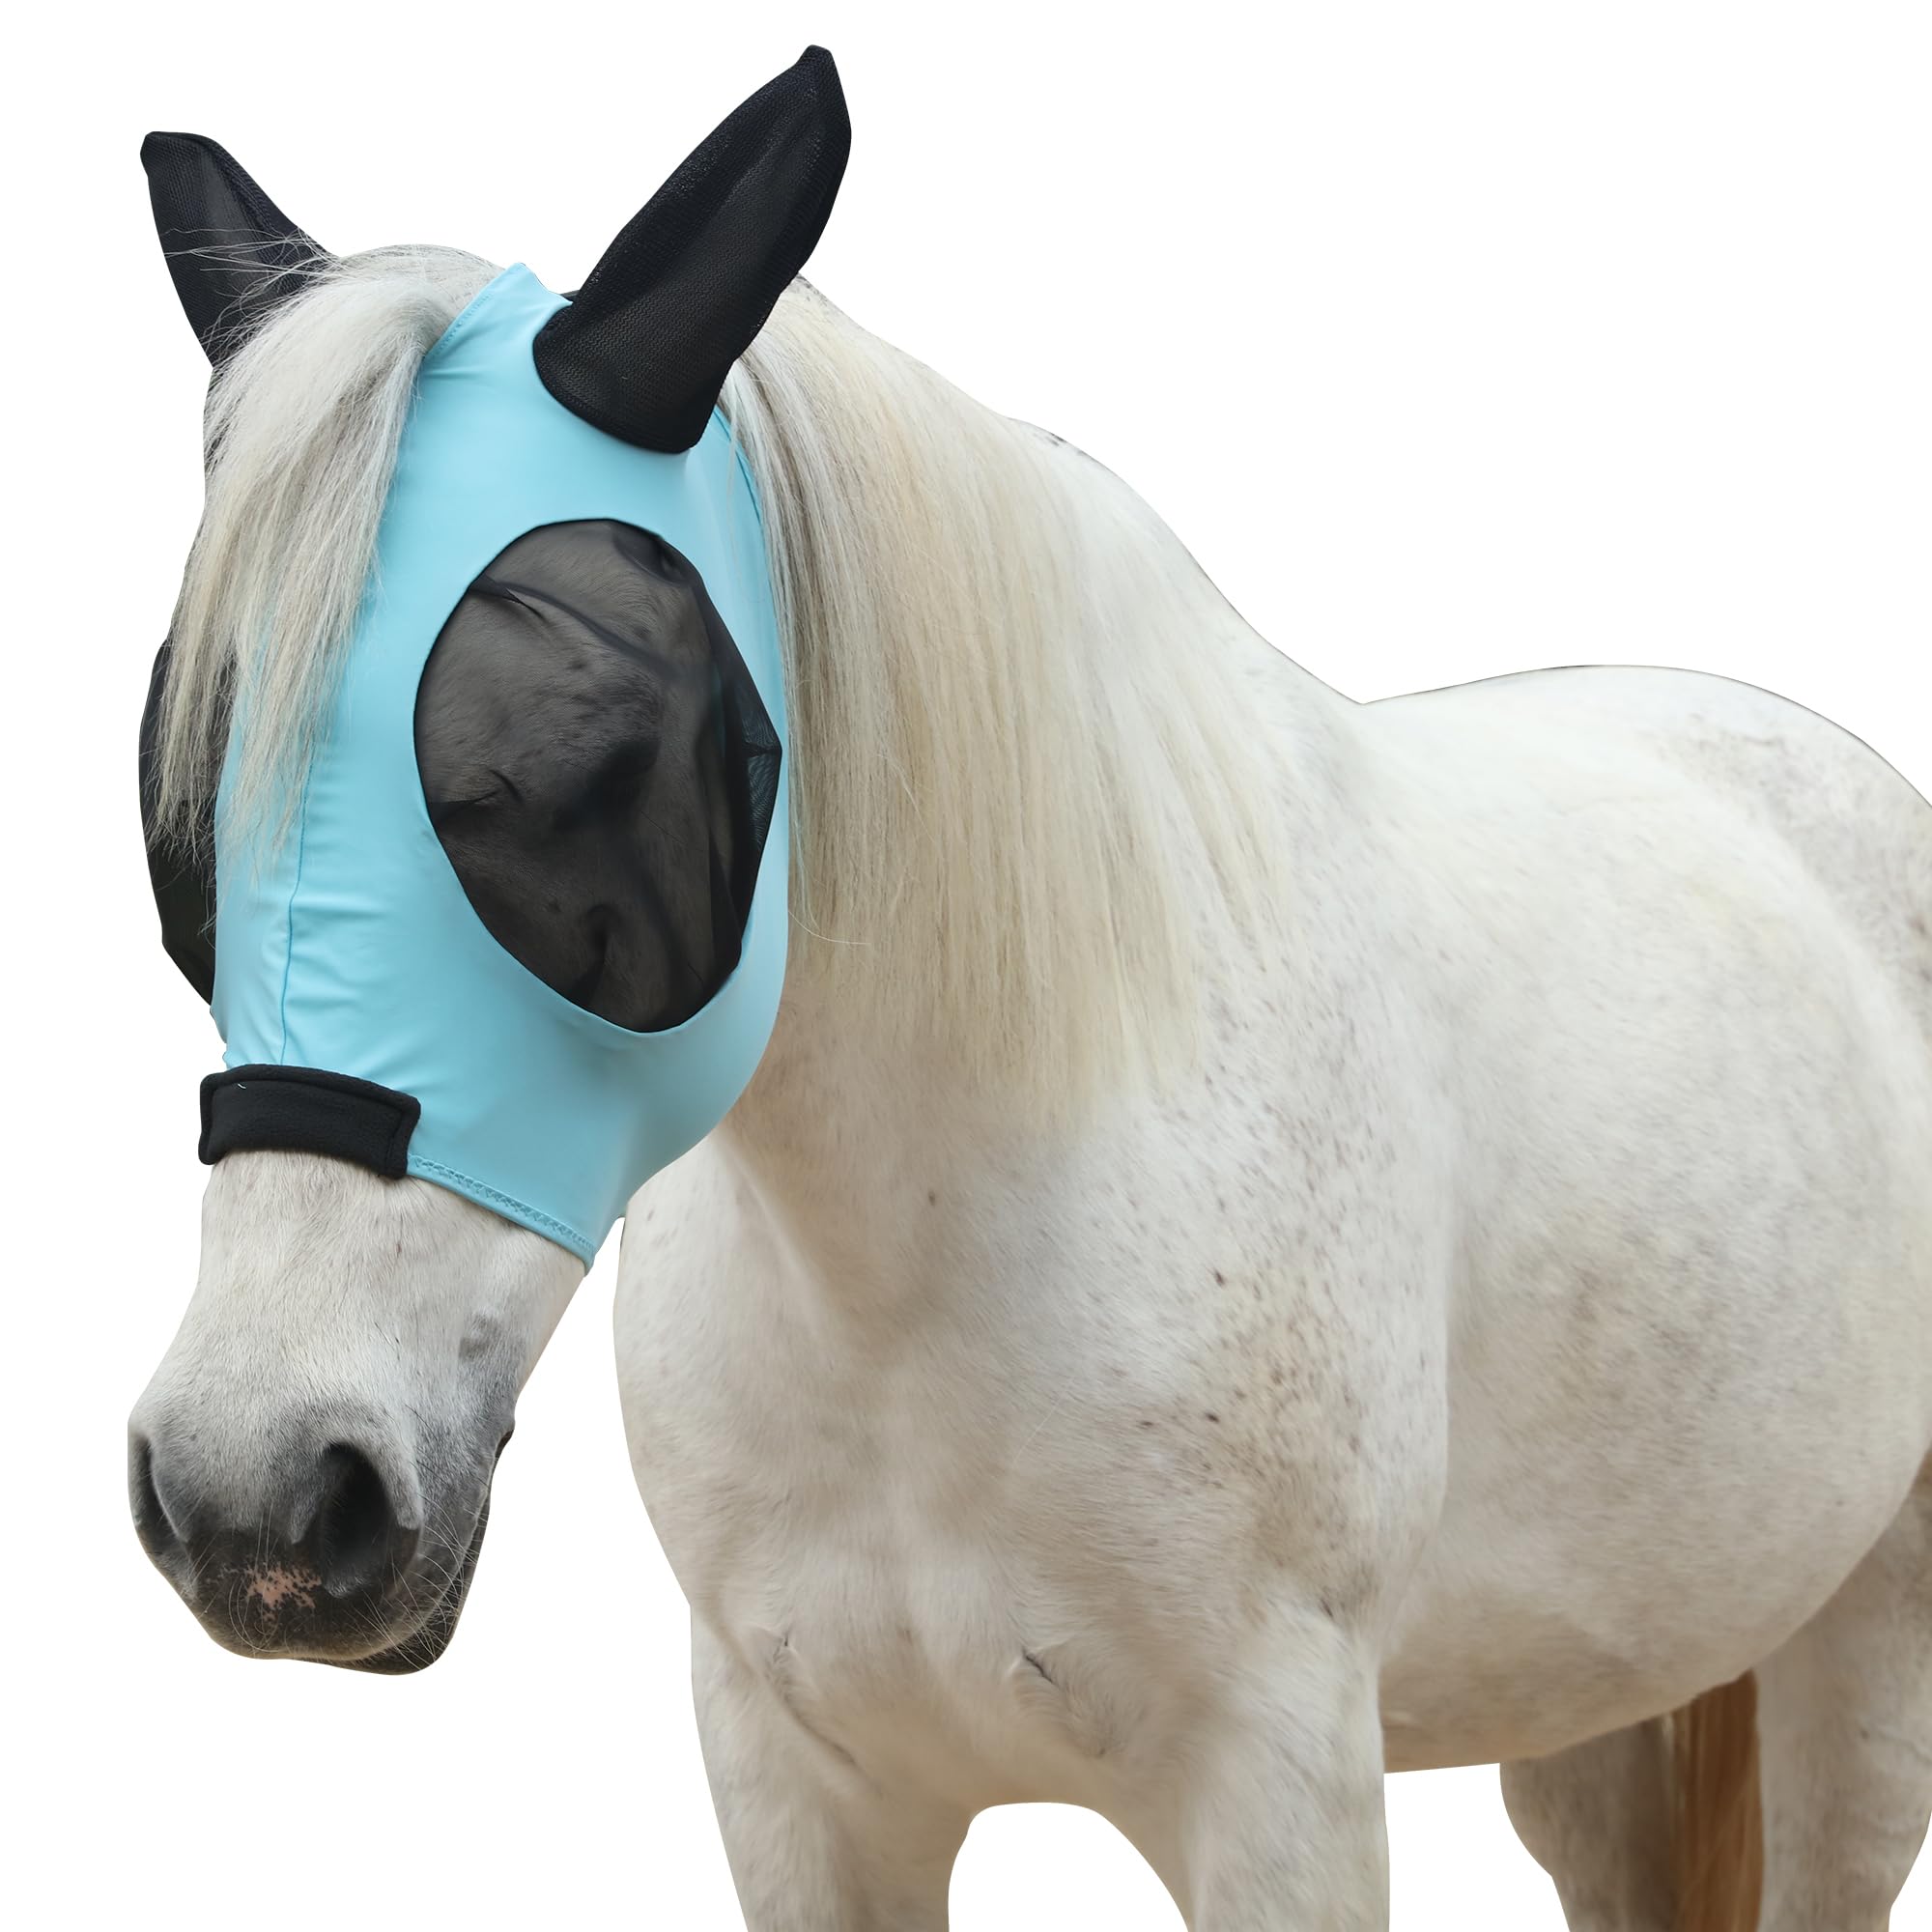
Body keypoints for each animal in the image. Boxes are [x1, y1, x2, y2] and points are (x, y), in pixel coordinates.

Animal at [127, 53, 1932, 1932]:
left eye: (594, 753)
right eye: (182, 784)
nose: (260, 1494)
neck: (930, 1259)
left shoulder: (1280, 1791)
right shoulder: (803, 1786)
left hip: (1866, 1648)